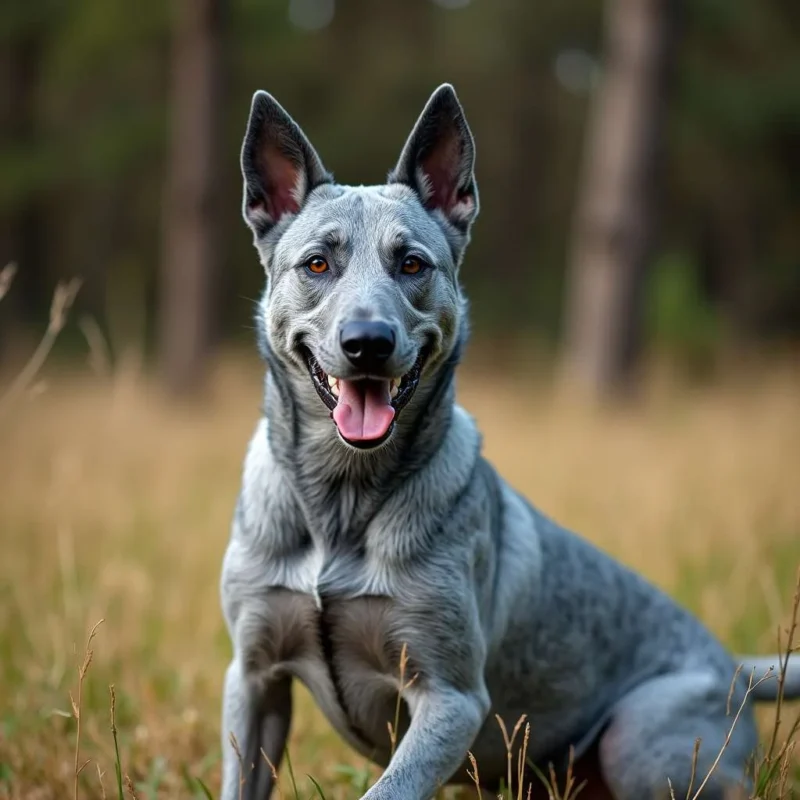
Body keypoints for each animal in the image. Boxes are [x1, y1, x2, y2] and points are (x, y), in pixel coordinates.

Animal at [217, 83, 792, 800]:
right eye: (317, 263)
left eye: (412, 263)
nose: (368, 342)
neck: (341, 497)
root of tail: (738, 671)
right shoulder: (253, 677)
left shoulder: (449, 696)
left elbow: (390, 786)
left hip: (644, 743)